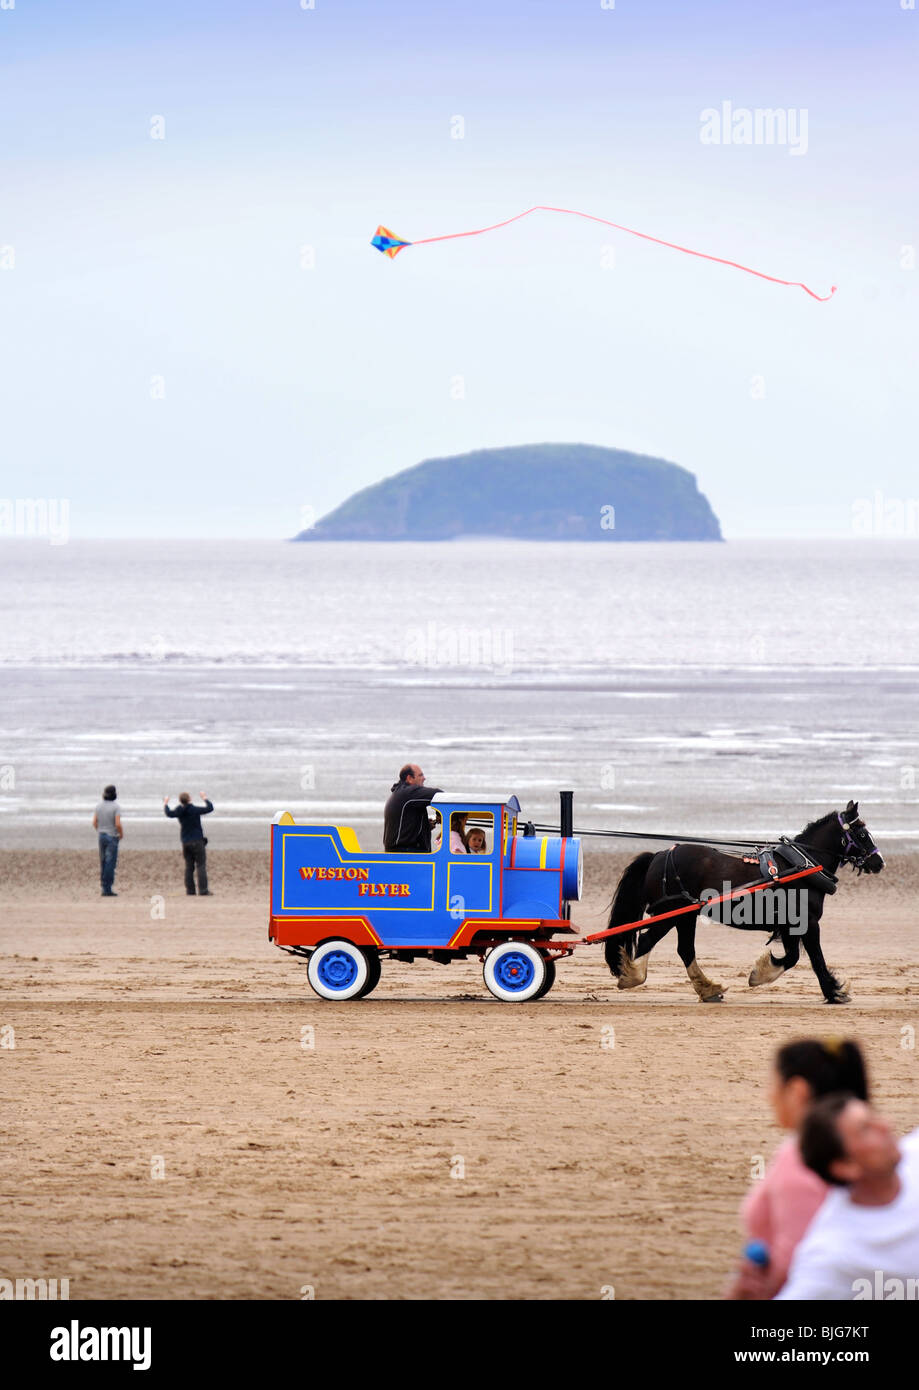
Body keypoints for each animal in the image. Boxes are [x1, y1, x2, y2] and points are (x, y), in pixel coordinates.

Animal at [603, 806, 884, 1000]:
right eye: (861, 833)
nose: (879, 862)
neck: (800, 866)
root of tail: (661, 855)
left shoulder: (790, 925)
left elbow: (793, 956)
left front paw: (760, 973)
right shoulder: (808, 922)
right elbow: (816, 959)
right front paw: (834, 992)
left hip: (685, 915)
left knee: (685, 950)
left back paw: (707, 989)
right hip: (671, 912)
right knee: (648, 941)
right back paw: (632, 977)